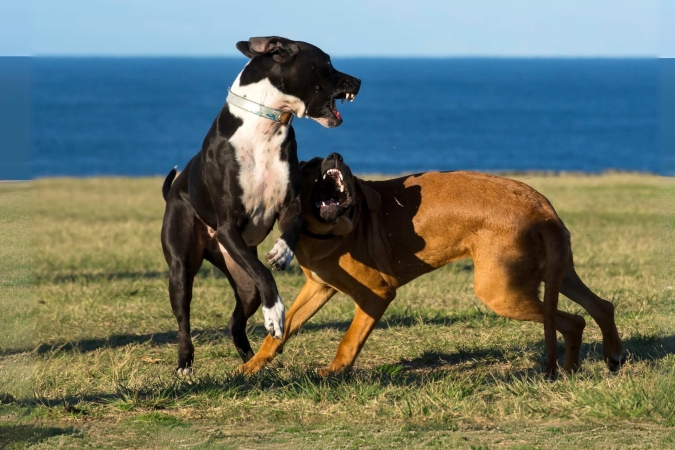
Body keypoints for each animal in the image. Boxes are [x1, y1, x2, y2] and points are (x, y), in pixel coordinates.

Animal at [162, 36, 362, 372]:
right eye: (327, 62)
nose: (358, 81)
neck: (264, 125)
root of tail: (172, 191)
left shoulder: (291, 204)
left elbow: (289, 235)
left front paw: (282, 253)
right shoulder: (228, 227)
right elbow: (265, 275)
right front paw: (276, 313)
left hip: (243, 281)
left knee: (236, 320)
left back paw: (249, 360)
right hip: (182, 268)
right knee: (183, 317)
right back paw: (185, 363)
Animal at [240, 153, 624, 378]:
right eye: (309, 164)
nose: (336, 155)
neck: (323, 230)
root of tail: (542, 208)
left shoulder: (377, 294)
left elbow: (348, 340)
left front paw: (333, 374)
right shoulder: (319, 287)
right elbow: (280, 332)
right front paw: (250, 368)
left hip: (501, 292)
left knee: (572, 321)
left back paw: (570, 369)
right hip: (557, 274)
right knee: (601, 307)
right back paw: (609, 358)